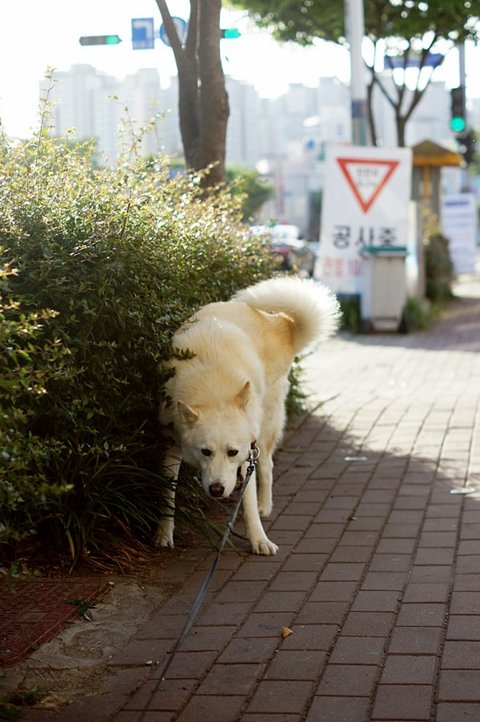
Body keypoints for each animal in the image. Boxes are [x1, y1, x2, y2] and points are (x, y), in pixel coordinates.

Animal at [155, 276, 340, 555]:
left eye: (232, 452)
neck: (213, 388)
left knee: (267, 465)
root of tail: (282, 323)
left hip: (265, 427)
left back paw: (265, 506)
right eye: (205, 452)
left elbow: (248, 501)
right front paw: (164, 534)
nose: (217, 490)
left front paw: (259, 539)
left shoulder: (246, 454)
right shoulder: (171, 442)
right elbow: (168, 494)